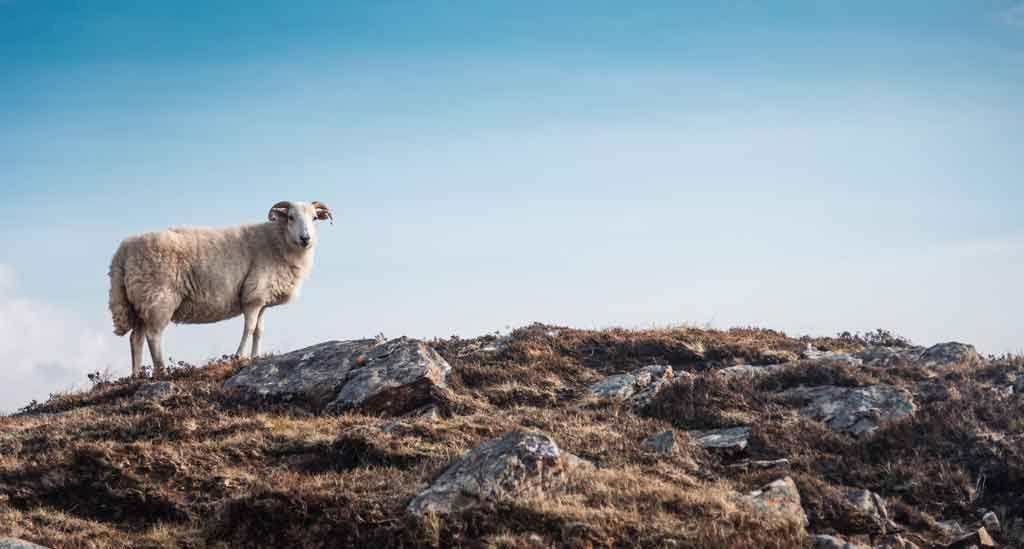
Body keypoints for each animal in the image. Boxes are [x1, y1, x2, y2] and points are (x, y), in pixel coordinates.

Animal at [106, 201, 333, 376]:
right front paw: (238, 356)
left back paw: (136, 376)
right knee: (153, 336)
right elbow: (249, 328)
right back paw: (161, 371)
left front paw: (255, 357)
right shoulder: (253, 295)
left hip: (139, 302)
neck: (277, 241)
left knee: (136, 339)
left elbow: (259, 331)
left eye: (314, 218)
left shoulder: (262, 300)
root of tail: (122, 253)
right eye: (291, 217)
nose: (305, 238)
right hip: (158, 298)